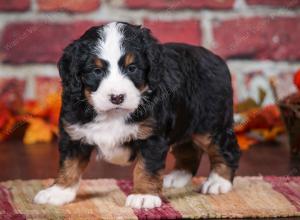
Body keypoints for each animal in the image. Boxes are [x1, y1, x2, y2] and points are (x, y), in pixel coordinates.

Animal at [34, 21, 241, 209]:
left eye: (132, 68)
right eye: (97, 71)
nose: (117, 97)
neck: (113, 115)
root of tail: (216, 58)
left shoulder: (152, 137)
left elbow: (146, 168)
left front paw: (144, 195)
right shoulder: (74, 133)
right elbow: (69, 164)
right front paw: (58, 191)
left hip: (210, 125)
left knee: (226, 149)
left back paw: (218, 182)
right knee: (188, 150)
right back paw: (178, 177)